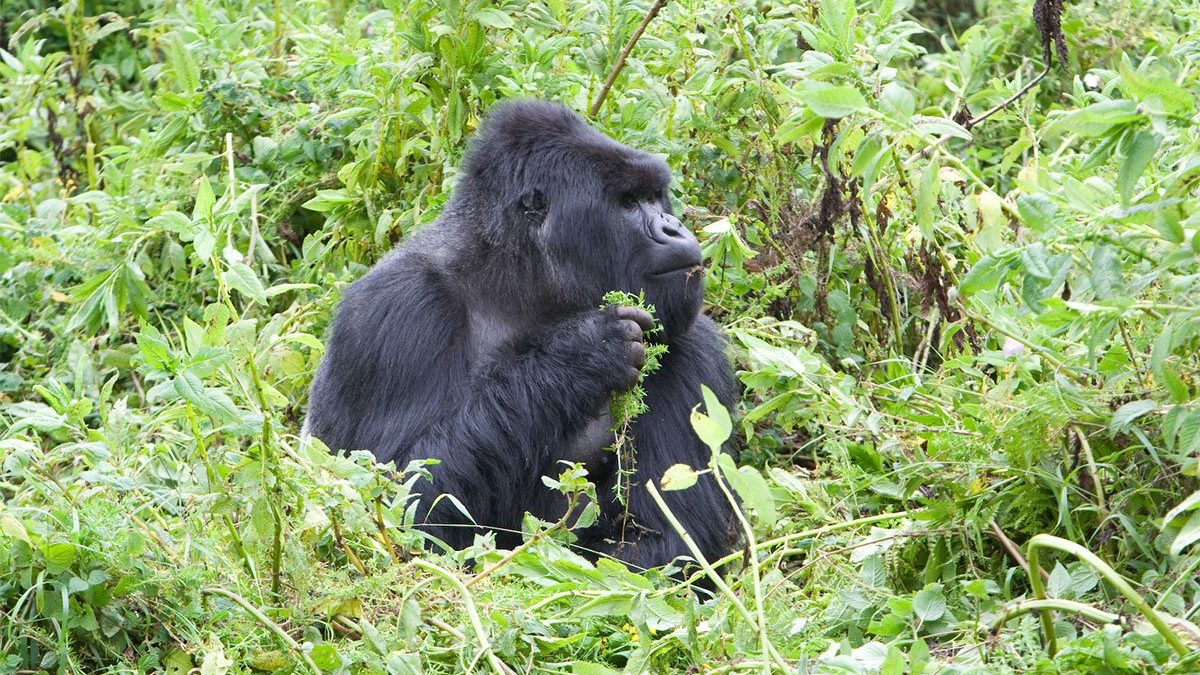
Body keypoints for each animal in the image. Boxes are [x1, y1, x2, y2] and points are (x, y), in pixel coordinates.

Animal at [304, 97, 734, 564]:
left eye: (655, 197)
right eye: (628, 202)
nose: (674, 227)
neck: (515, 282)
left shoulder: (689, 345)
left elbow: (668, 542)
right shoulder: (396, 310)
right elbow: (401, 503)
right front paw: (579, 355)